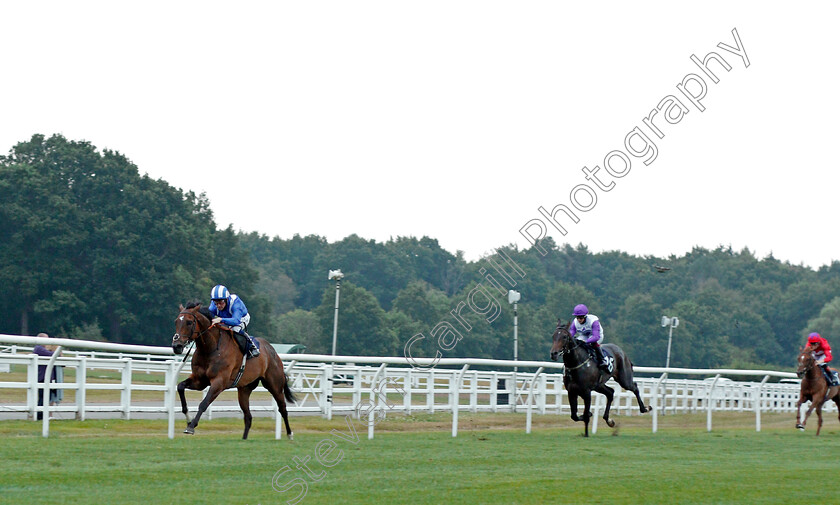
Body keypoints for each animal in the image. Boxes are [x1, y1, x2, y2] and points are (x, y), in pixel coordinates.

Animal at [171, 304, 296, 438]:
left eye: (189, 322)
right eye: (176, 321)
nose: (176, 346)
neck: (210, 349)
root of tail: (273, 351)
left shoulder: (219, 382)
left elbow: (204, 403)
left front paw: (191, 426)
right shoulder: (200, 381)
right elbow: (180, 386)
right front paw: (188, 419)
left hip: (275, 385)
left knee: (282, 408)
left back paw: (290, 434)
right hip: (244, 389)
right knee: (248, 416)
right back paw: (244, 439)